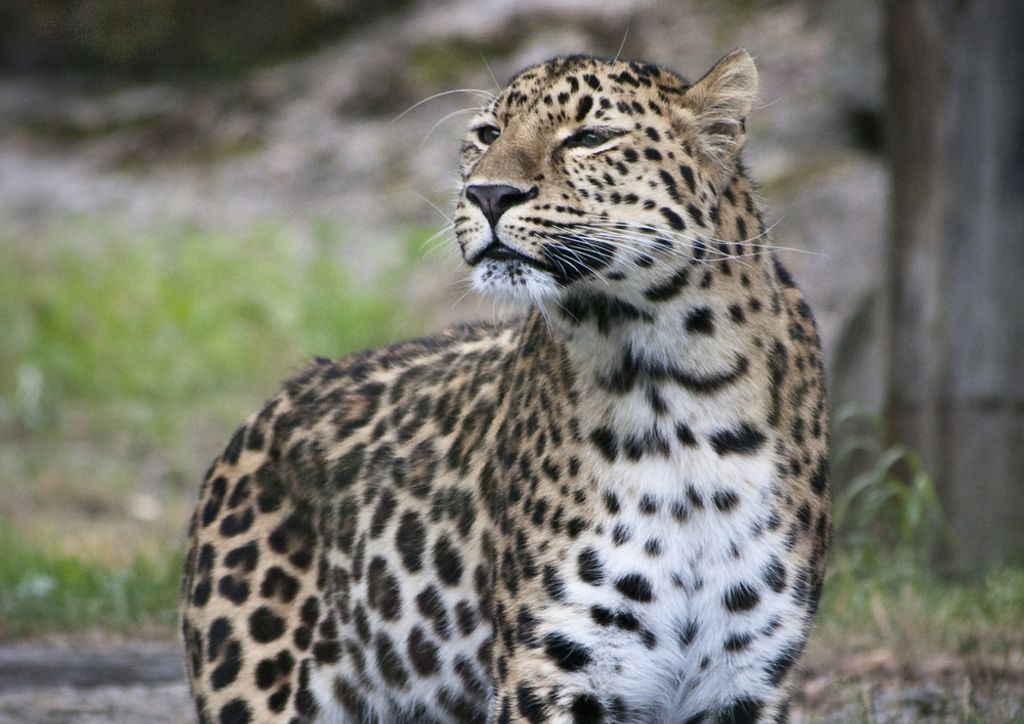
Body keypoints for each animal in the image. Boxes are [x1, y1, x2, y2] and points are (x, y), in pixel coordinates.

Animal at [180, 48, 831, 724]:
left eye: (590, 138)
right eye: (488, 134)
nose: (488, 193)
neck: (674, 384)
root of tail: (271, 405)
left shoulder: (745, 678)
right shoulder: (554, 668)